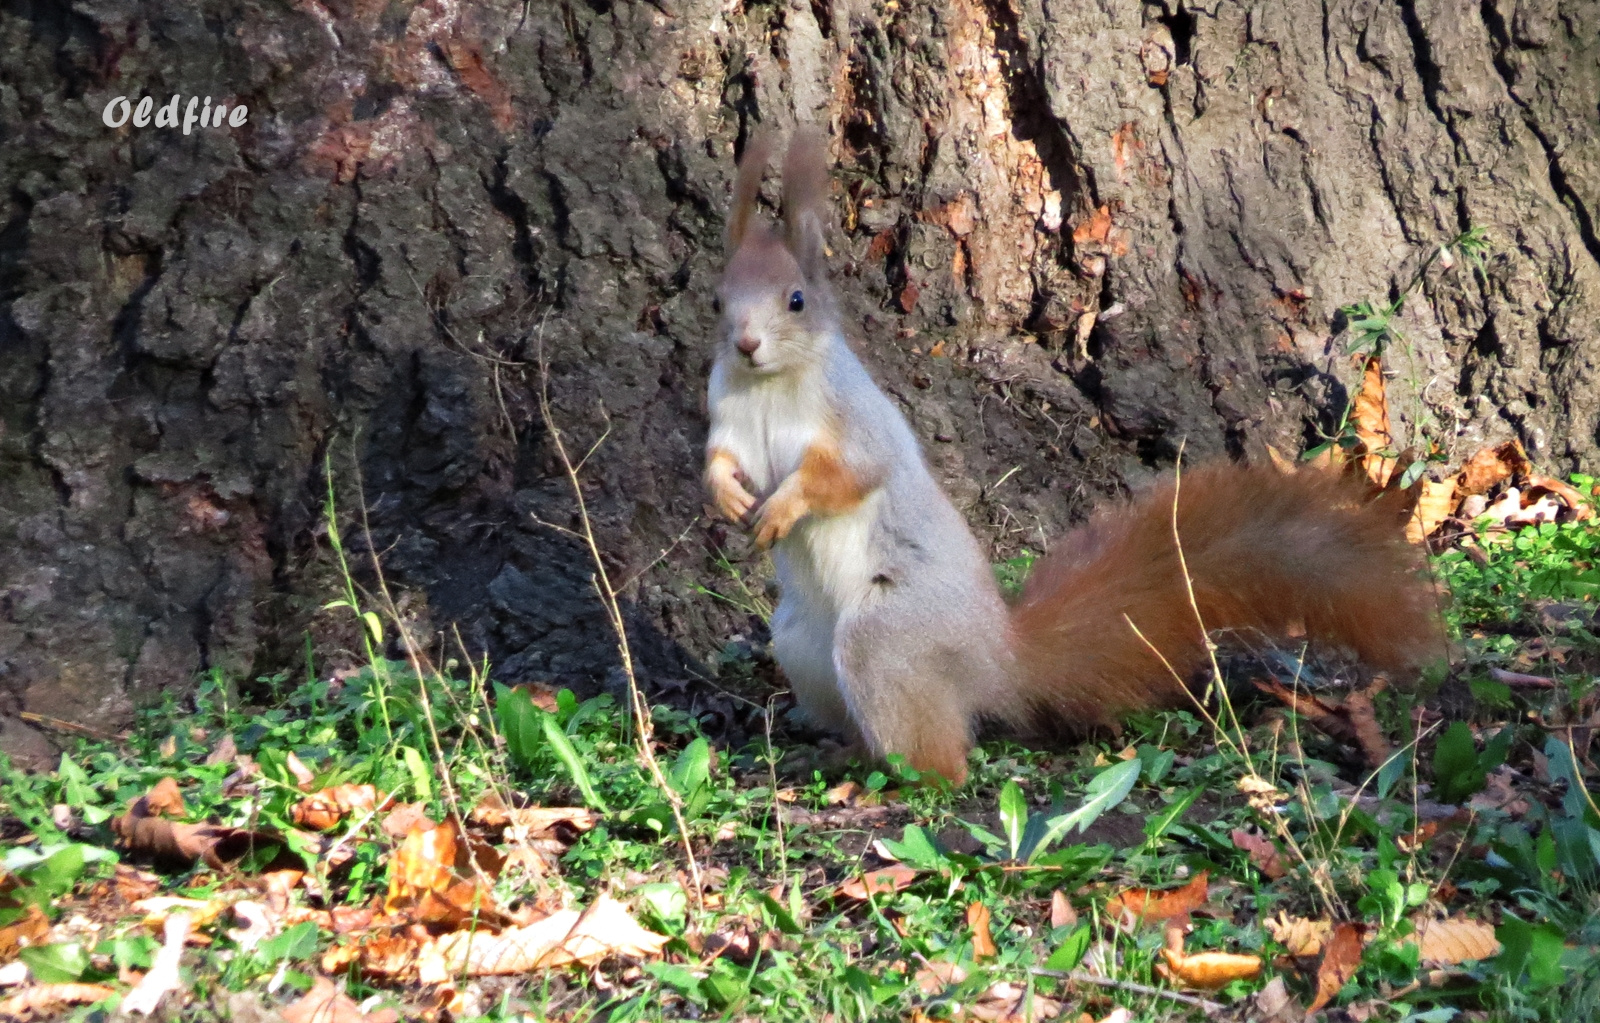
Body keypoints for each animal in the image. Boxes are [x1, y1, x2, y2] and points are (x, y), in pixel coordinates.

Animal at [707, 126, 1446, 784]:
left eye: (796, 301)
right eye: (719, 300)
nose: (744, 344)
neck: (771, 386)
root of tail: (996, 661)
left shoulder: (857, 420)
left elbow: (848, 474)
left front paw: (785, 503)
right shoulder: (727, 414)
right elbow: (718, 457)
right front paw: (725, 494)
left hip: (883, 640)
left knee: (943, 765)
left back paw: (879, 780)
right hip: (800, 641)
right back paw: (842, 755)